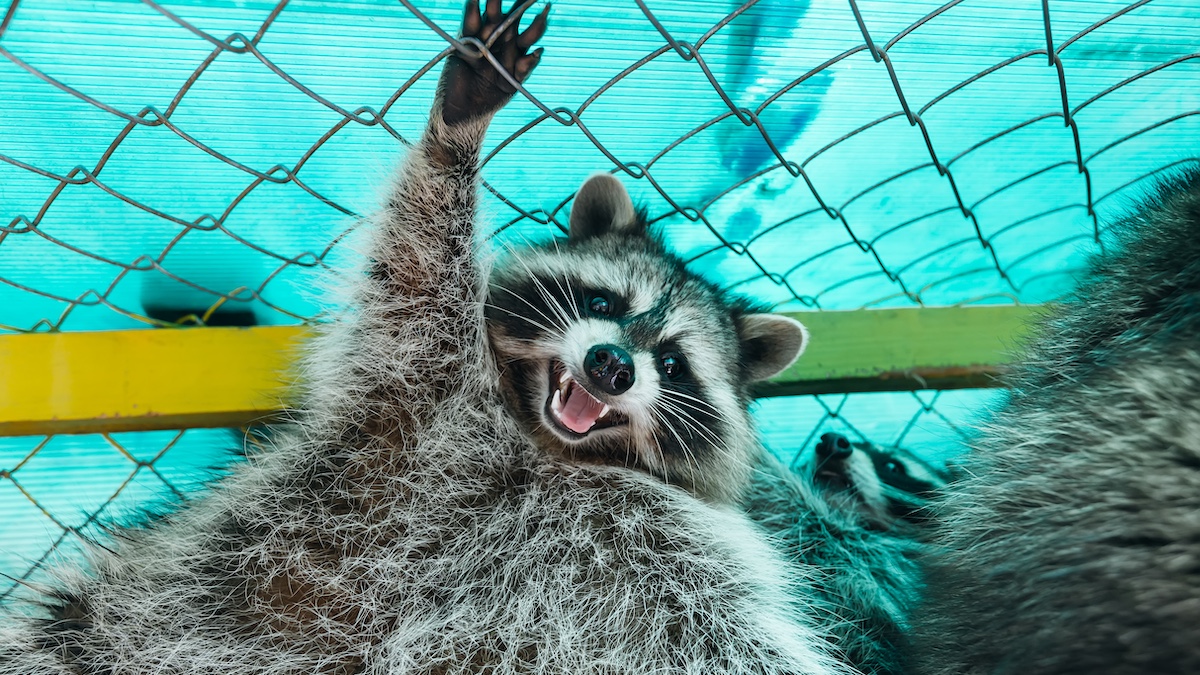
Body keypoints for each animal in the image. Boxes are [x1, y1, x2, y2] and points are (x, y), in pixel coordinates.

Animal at [0, 2, 850, 674]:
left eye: (673, 362)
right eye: (604, 300)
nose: (610, 365)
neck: (542, 442)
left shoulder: (674, 559)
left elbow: (734, 637)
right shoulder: (418, 385)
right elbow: (420, 255)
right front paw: (459, 130)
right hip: (128, 620)